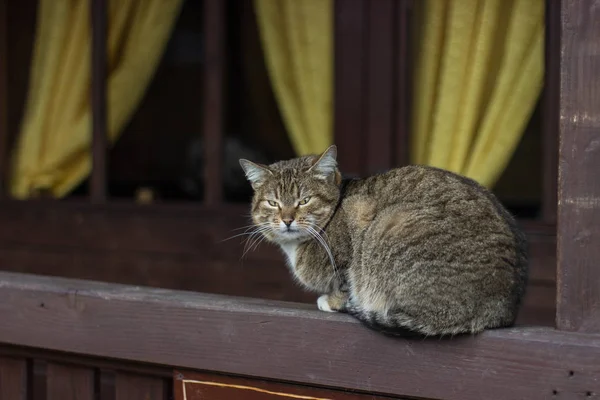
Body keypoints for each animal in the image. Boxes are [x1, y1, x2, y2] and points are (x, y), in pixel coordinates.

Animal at [239, 145, 528, 336]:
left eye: (304, 200)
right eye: (273, 203)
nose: (287, 219)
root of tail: (498, 309)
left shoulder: (353, 235)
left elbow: (345, 283)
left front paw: (332, 301)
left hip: (392, 226)